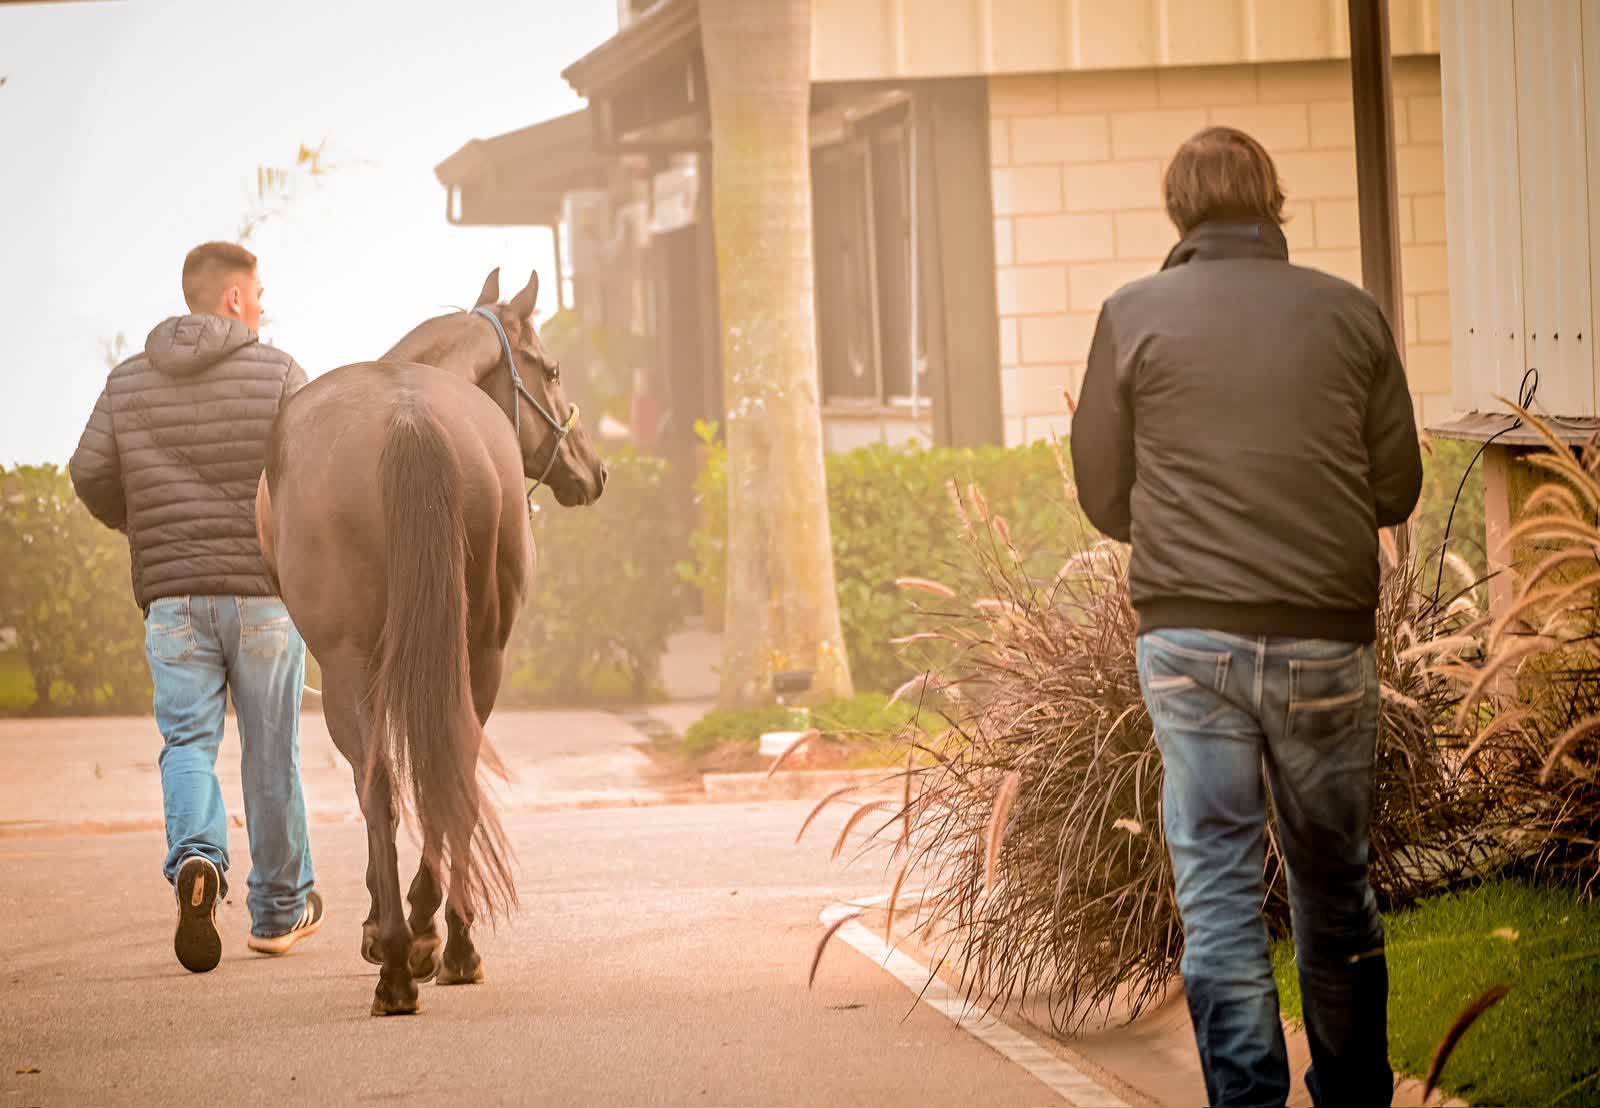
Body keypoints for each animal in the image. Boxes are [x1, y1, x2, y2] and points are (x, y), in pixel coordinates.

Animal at [255, 268, 606, 1015]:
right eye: (552, 368)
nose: (595, 470)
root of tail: (408, 414)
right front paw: (428, 930)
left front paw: (390, 931)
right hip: (481, 656)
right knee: (457, 775)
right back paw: (452, 942)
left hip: (351, 666)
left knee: (383, 787)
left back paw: (398, 959)